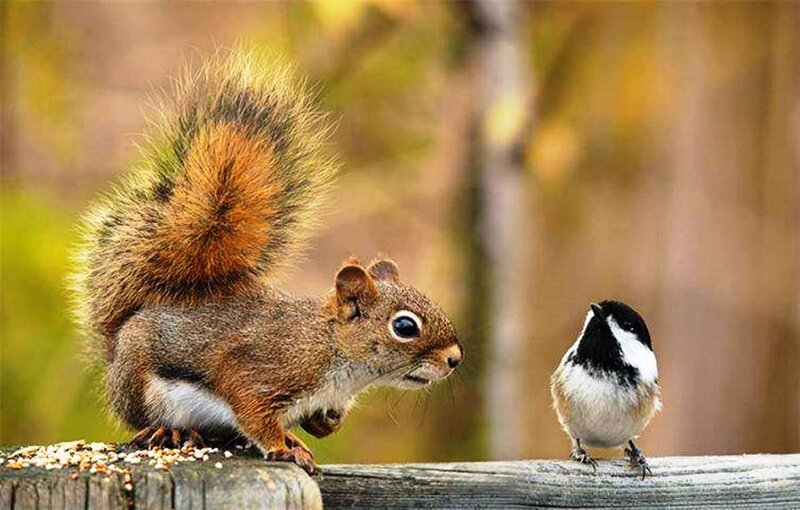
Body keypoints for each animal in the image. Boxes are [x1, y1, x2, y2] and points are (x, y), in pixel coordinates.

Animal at [71, 48, 463, 474]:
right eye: (405, 326)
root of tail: (117, 345)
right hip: (141, 385)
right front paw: (280, 446)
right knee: (143, 420)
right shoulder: (260, 367)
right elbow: (253, 412)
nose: (455, 359)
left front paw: (322, 424)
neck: (330, 347)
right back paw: (171, 430)